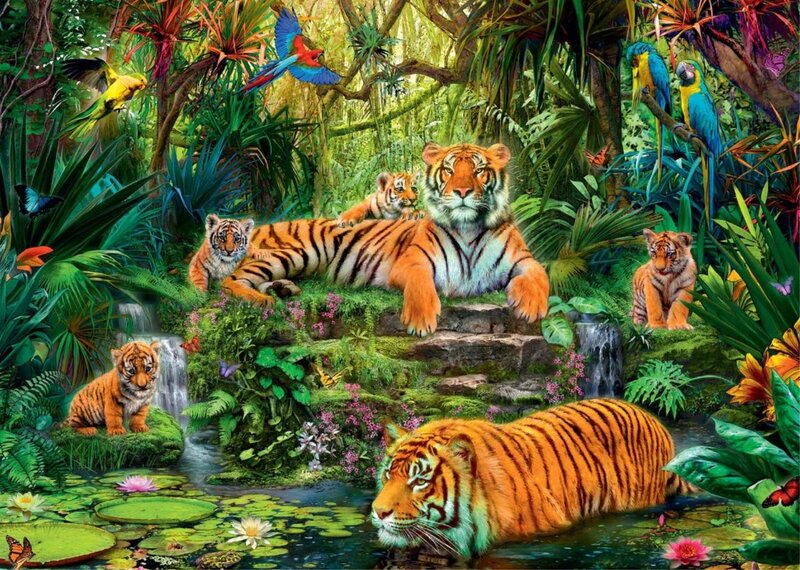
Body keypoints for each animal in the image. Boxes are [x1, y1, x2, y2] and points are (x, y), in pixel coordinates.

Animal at [221, 143, 549, 336]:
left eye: (480, 170)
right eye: (449, 169)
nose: (463, 192)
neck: (468, 227)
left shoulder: (523, 258)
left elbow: (540, 274)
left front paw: (530, 307)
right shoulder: (412, 260)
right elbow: (420, 282)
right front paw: (421, 319)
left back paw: (283, 289)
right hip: (298, 253)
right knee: (230, 281)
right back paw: (263, 299)